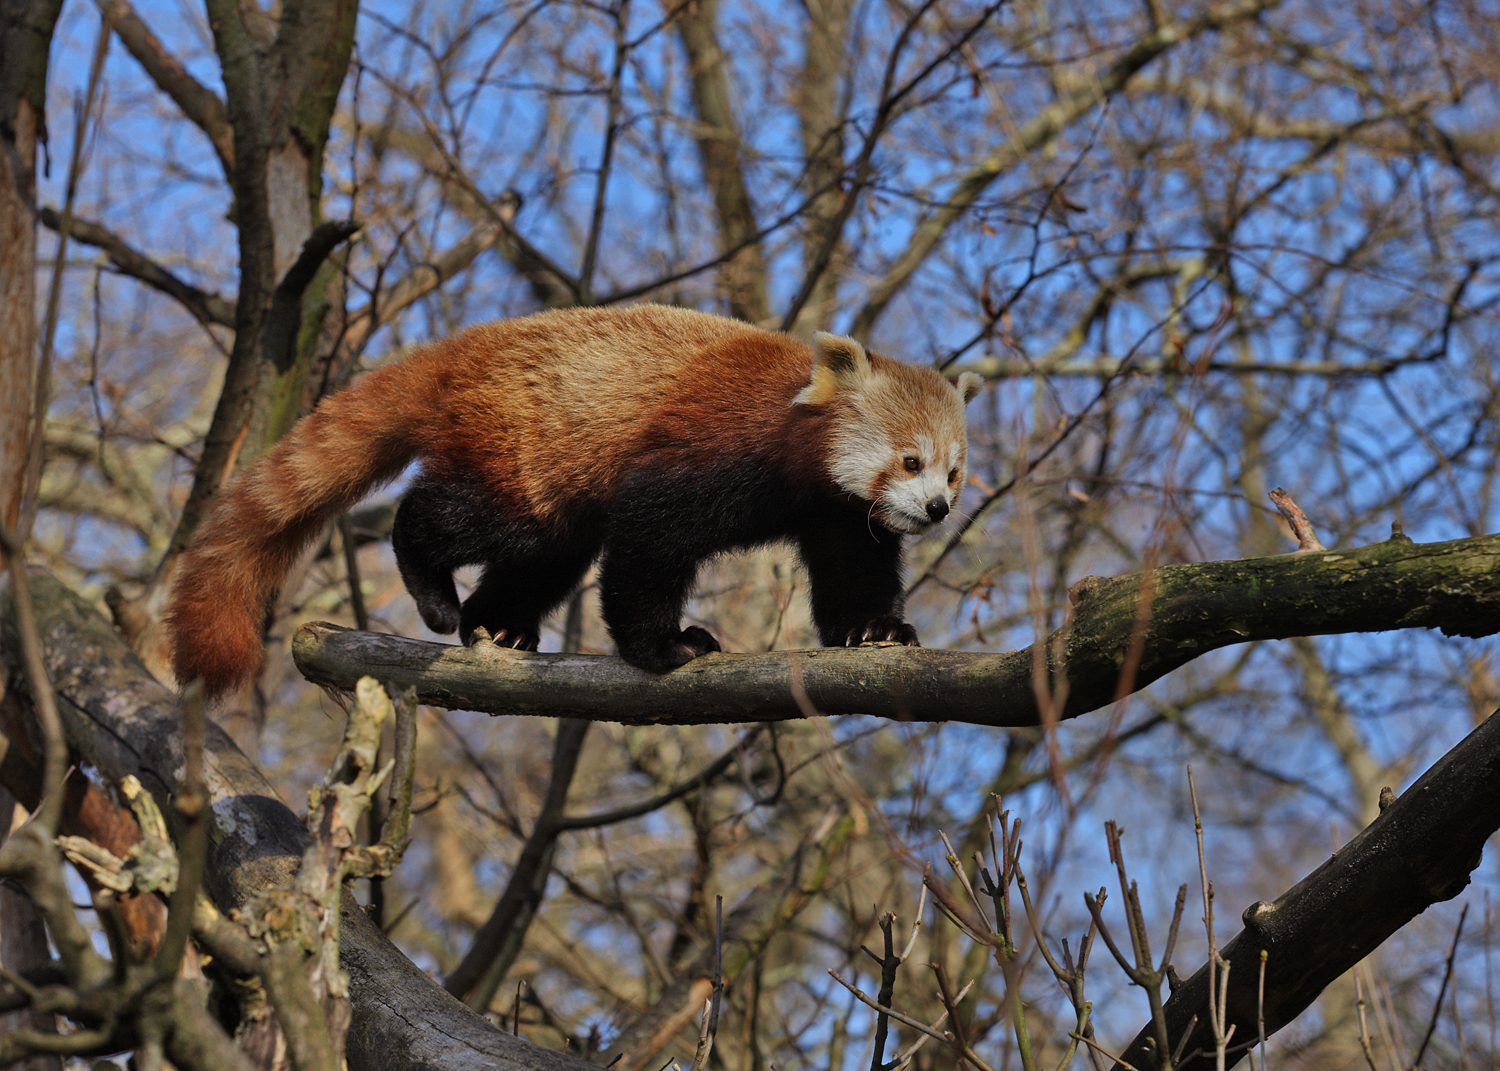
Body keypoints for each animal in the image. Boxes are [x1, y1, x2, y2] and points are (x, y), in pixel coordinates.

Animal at [164, 304, 984, 696]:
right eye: (910, 460)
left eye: (953, 473)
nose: (937, 511)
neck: (797, 453)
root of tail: (464, 349)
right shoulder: (711, 451)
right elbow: (648, 540)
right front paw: (666, 647)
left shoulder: (835, 511)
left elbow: (854, 572)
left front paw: (875, 630)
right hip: (521, 447)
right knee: (459, 518)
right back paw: (433, 588)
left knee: (543, 555)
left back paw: (498, 625)